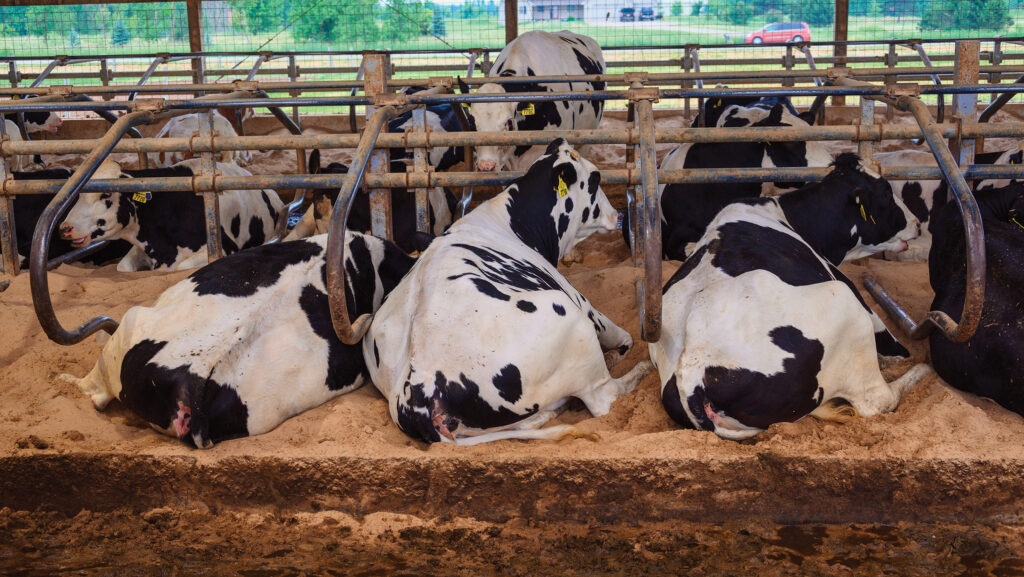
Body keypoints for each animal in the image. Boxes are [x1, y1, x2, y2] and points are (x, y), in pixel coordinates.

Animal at [364, 139, 652, 446]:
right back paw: (642, 369)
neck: (512, 222)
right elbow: (624, 338)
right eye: (596, 178)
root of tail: (415, 389)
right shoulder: (581, 302)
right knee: (605, 398)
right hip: (571, 323)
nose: (616, 215)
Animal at [650, 153, 929, 440]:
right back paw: (919, 371)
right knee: (878, 400)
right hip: (844, 304)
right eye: (886, 193)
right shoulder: (851, 291)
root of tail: (691, 371)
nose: (918, 224)